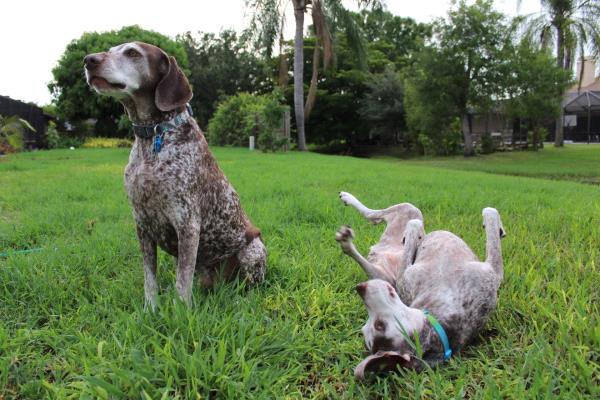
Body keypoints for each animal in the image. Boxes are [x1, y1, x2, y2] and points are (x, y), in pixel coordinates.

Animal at [83, 41, 266, 310]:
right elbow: (150, 279)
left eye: (132, 53)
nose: (88, 60)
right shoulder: (142, 224)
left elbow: (182, 282)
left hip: (253, 249)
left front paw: (180, 313)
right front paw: (150, 310)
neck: (152, 137)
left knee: (249, 285)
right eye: (111, 49)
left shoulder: (187, 222)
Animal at [336, 193, 504, 378]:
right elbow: (490, 217)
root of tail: (377, 250)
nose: (360, 288)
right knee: (376, 217)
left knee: (374, 217)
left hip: (407, 215)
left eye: (378, 325)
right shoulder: (404, 276)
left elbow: (491, 214)